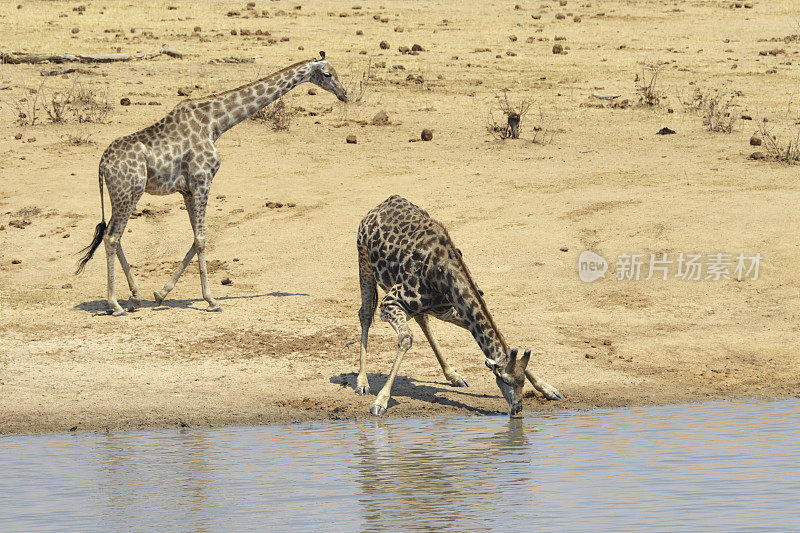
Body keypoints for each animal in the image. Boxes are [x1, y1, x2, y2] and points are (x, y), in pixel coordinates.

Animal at [76, 52, 346, 314]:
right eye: (327, 73)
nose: (344, 94)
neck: (214, 123)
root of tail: (102, 163)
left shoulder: (187, 189)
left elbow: (196, 237)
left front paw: (161, 293)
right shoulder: (202, 179)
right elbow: (202, 239)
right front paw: (211, 300)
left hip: (123, 194)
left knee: (113, 235)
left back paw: (135, 296)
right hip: (128, 192)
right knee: (112, 237)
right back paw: (115, 304)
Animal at [356, 194, 564, 416]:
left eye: (522, 381)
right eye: (505, 381)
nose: (517, 409)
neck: (442, 274)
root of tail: (381, 204)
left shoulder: (448, 308)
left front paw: (548, 389)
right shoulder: (390, 302)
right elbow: (406, 339)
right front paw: (380, 401)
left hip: (432, 309)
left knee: (423, 320)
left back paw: (453, 376)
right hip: (364, 263)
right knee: (365, 313)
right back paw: (362, 382)